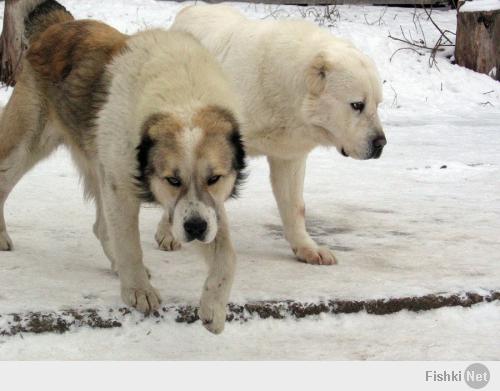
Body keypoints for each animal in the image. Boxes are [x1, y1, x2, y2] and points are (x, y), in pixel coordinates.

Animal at [0, 1, 246, 336]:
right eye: (172, 179)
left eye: (214, 178)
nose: (195, 229)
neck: (182, 98)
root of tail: (60, 24)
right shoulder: (122, 188)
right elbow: (130, 245)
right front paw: (138, 290)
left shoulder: (209, 207)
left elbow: (227, 257)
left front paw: (214, 307)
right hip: (25, 146)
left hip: (99, 162)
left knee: (102, 226)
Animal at [159, 3, 382, 266]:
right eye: (357, 105)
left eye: (378, 104)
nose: (380, 143)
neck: (286, 90)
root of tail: (191, 8)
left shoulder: (289, 154)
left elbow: (295, 205)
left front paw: (307, 248)